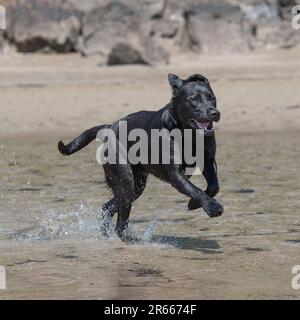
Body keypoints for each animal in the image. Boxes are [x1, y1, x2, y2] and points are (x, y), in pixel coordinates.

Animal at [58, 74, 223, 240]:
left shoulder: (208, 161)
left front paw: (193, 204)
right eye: (194, 99)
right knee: (120, 223)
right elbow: (195, 189)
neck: (189, 135)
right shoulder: (176, 174)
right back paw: (129, 239)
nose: (214, 112)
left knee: (107, 207)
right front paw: (212, 207)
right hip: (125, 181)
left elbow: (214, 186)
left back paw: (106, 233)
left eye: (212, 98)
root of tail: (110, 128)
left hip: (135, 186)